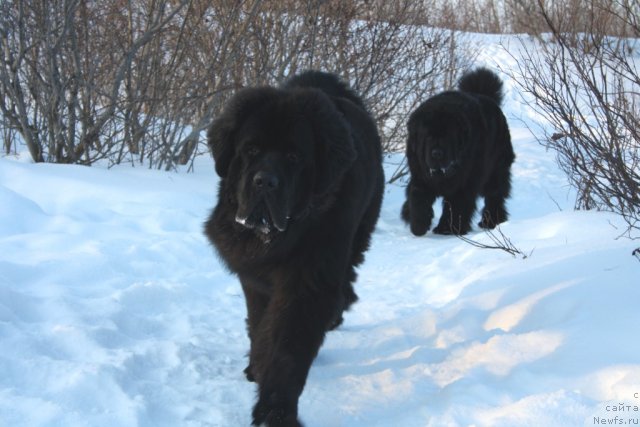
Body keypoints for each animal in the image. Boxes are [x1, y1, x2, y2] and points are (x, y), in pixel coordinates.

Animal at [206, 72, 384, 426]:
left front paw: (275, 411)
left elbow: (286, 346)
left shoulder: (309, 282)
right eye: (251, 149)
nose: (265, 181)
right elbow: (260, 324)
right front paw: (256, 366)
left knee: (346, 286)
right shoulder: (254, 277)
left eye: (293, 157)